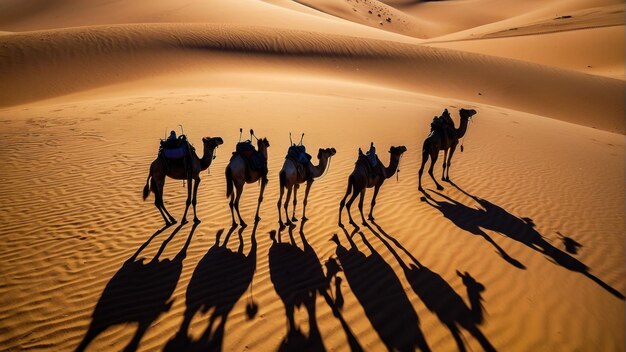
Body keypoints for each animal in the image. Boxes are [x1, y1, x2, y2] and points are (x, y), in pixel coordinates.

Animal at [366, 223, 492, 352]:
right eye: (472, 282)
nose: (482, 288)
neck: (466, 319)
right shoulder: (449, 322)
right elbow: (459, 343)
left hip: (420, 269)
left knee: (413, 261)